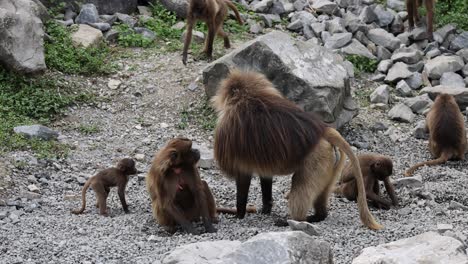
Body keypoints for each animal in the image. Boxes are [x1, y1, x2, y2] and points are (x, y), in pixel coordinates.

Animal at [210, 69, 382, 230]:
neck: (251, 97)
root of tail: (323, 131)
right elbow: (265, 176)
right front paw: (266, 209)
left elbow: (243, 176)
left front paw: (239, 214)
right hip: (333, 162)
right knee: (321, 195)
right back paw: (316, 216)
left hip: (317, 159)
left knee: (301, 188)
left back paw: (292, 220)